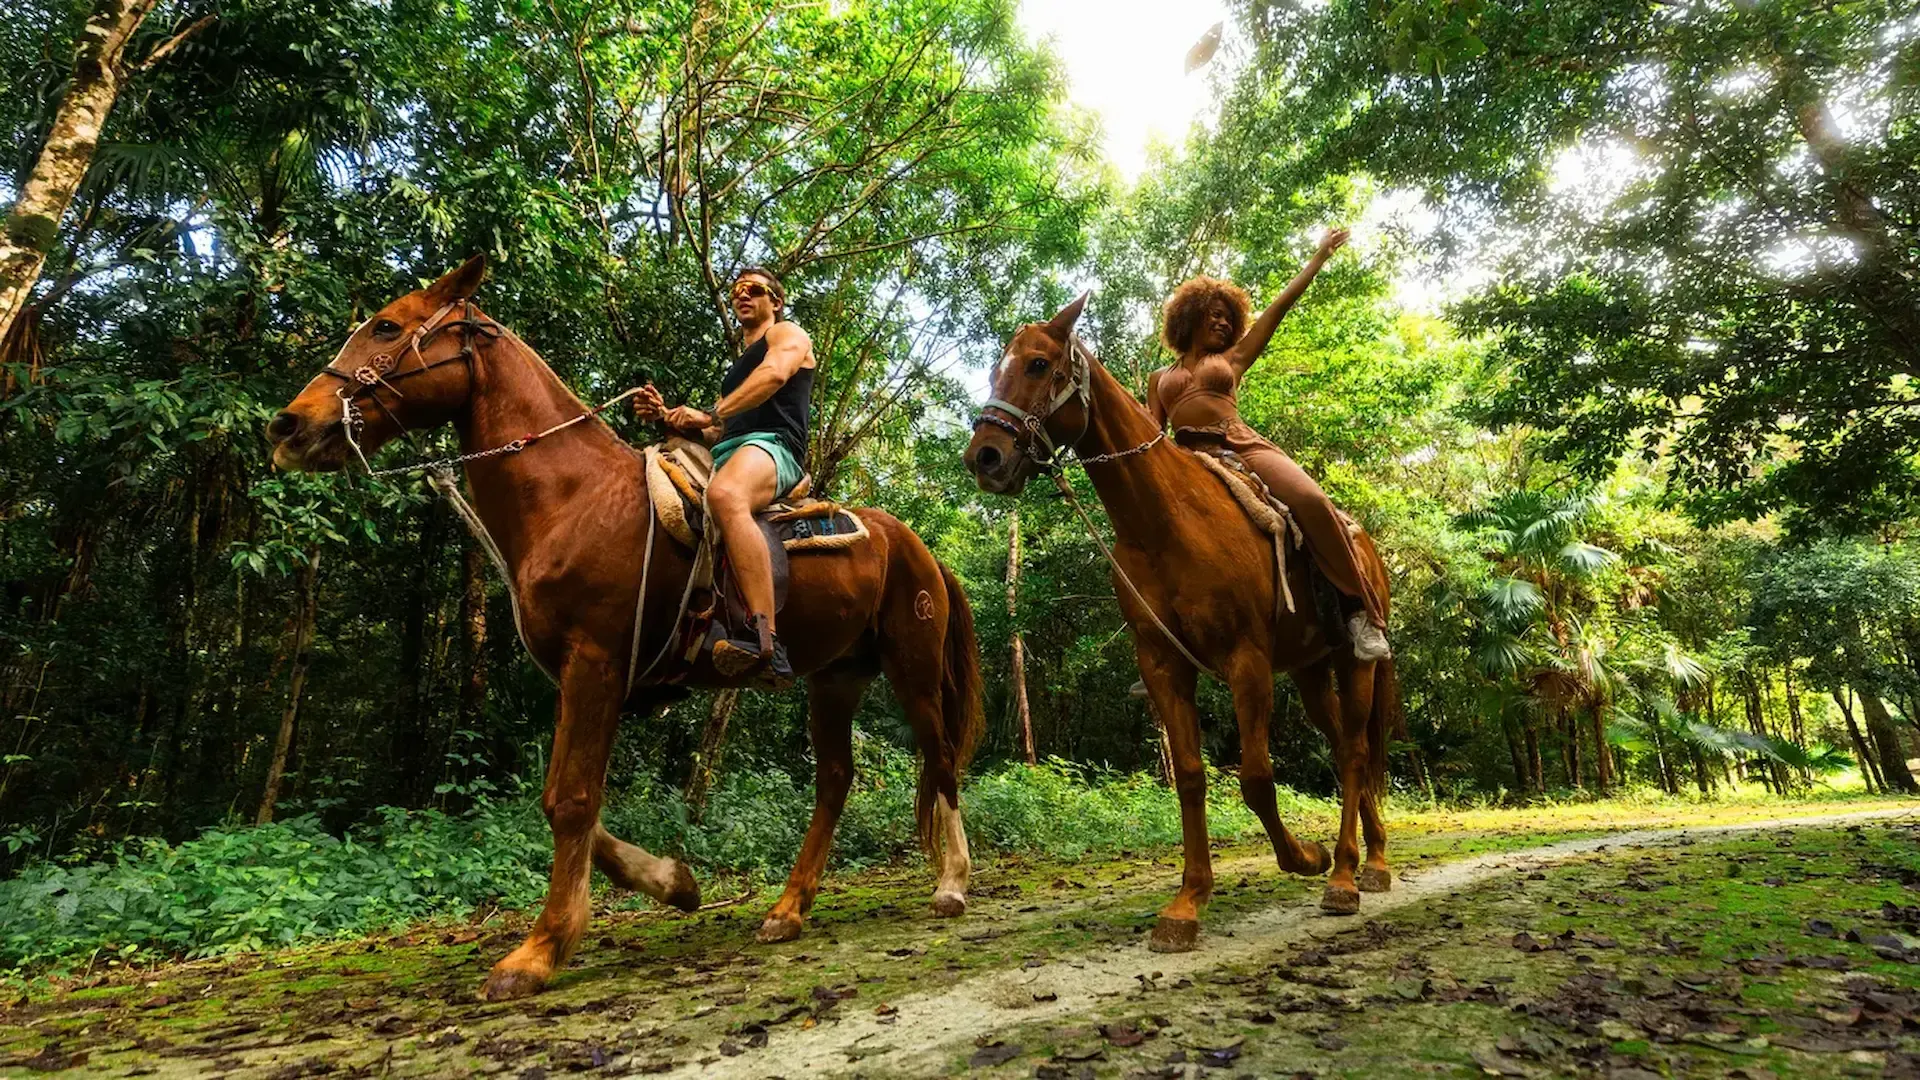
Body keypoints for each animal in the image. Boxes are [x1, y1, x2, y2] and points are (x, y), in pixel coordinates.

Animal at [267, 255, 984, 1000]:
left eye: (386, 326)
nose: (288, 426)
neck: (571, 496)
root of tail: (919, 547)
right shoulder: (581, 676)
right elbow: (566, 799)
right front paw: (674, 883)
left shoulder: (595, 663)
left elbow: (570, 800)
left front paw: (540, 950)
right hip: (835, 677)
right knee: (836, 778)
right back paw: (789, 909)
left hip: (912, 665)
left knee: (939, 757)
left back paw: (952, 884)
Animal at [963, 295, 1400, 951]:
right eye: (998, 369)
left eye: (1038, 364)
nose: (985, 457)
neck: (1164, 521)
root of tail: (1366, 543)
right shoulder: (1163, 665)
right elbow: (1191, 777)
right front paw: (1188, 902)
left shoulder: (1246, 663)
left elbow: (1255, 778)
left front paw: (1305, 857)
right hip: (1310, 672)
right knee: (1346, 746)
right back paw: (1372, 859)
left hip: (1353, 662)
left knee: (1353, 752)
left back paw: (1347, 874)